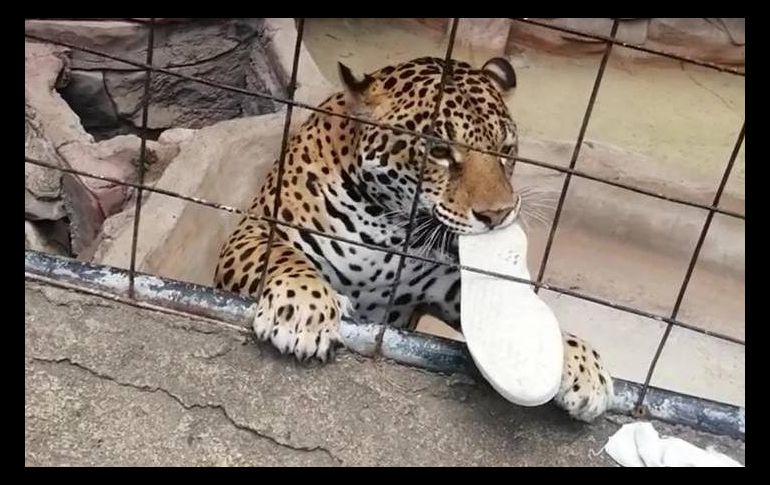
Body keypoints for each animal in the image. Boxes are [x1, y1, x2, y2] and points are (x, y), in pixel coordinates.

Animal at [214, 56, 614, 422]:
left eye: (506, 149)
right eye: (439, 151)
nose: (498, 214)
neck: (388, 226)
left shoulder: (447, 286)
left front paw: (579, 361)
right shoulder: (254, 230)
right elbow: (283, 257)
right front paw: (303, 311)